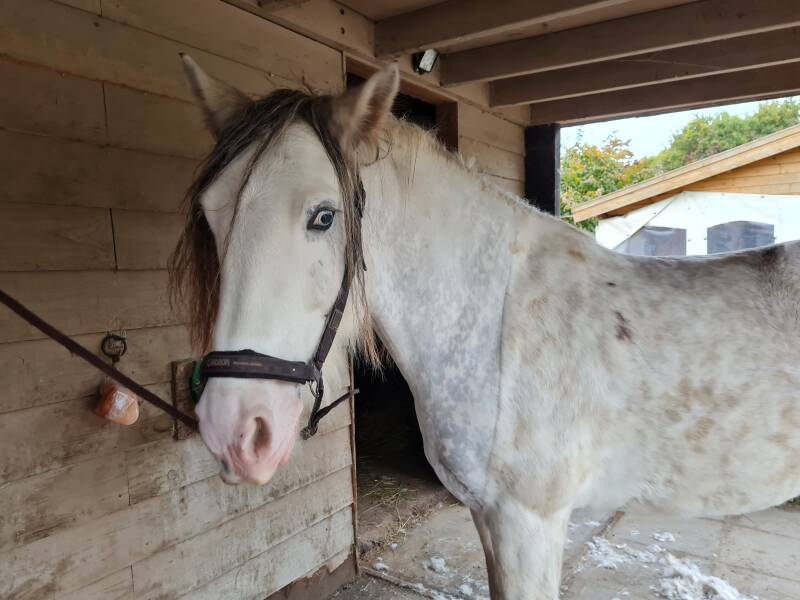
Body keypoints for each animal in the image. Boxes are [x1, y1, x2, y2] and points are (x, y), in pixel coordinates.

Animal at [170, 57, 800, 599]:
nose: (235, 430)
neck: (496, 327)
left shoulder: (529, 523)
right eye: (209, 215)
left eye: (323, 216)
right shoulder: (491, 519)